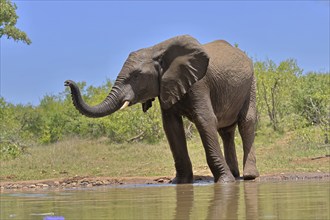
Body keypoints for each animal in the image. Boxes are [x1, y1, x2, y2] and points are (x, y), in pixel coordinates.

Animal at [64, 34, 260, 184]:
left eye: (136, 76)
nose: (67, 82)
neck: (157, 51)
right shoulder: (166, 87)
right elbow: (171, 127)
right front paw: (179, 183)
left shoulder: (199, 84)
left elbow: (205, 120)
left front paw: (225, 183)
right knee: (226, 131)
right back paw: (235, 174)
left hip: (250, 83)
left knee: (246, 122)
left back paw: (249, 176)